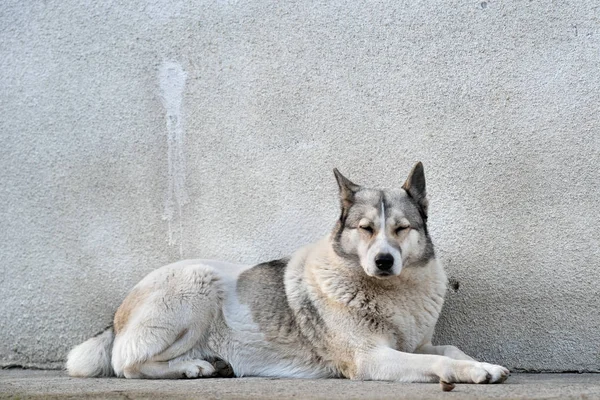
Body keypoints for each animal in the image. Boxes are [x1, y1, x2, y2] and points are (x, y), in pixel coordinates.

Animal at [65, 162, 508, 384]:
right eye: (365, 228)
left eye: (401, 228)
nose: (384, 261)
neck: (390, 291)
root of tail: (117, 315)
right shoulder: (371, 358)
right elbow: (437, 362)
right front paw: (475, 372)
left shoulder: (414, 344)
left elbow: (450, 350)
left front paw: (482, 363)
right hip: (198, 285)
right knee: (127, 364)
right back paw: (193, 367)